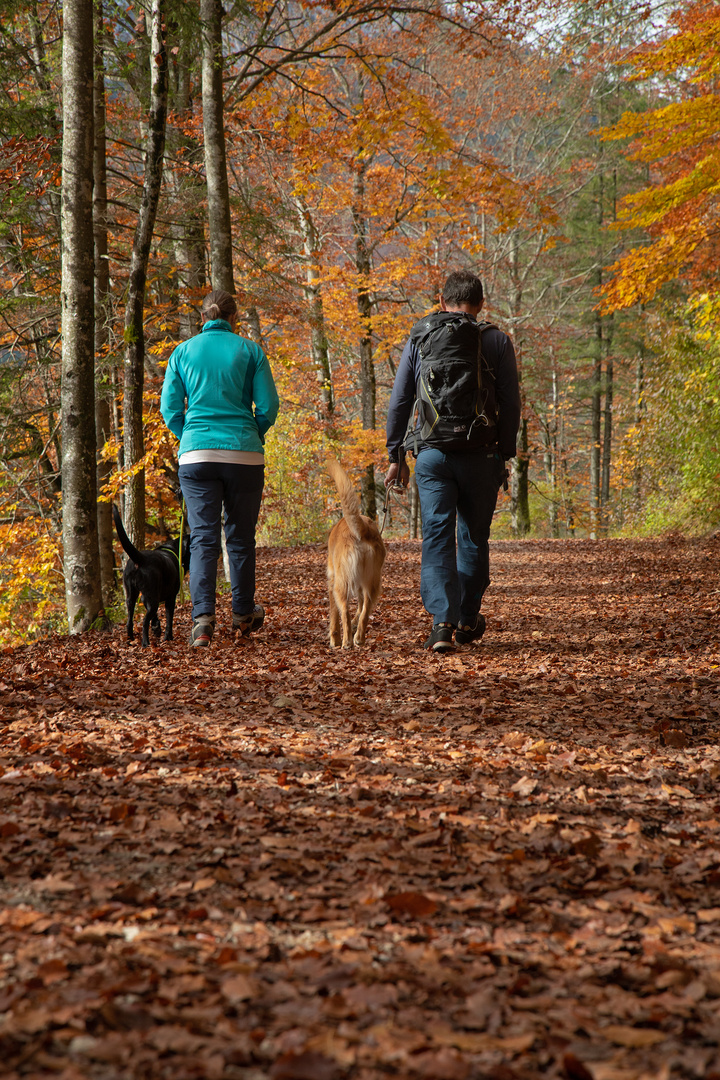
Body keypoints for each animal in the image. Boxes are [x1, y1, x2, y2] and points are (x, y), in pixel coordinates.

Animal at [113, 507, 189, 648]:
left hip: (131, 596)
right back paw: (145, 643)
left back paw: (131, 639)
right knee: (144, 621)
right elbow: (169, 619)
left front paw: (156, 627)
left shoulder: (146, 596)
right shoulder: (170, 598)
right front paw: (168, 637)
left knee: (129, 621)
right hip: (152, 598)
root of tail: (140, 559)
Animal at [325, 457, 382, 648]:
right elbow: (360, 608)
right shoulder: (359, 585)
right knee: (366, 609)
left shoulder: (332, 581)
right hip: (372, 582)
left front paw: (334, 639)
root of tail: (362, 530)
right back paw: (359, 637)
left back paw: (346, 641)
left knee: (345, 613)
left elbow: (334, 615)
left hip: (340, 585)